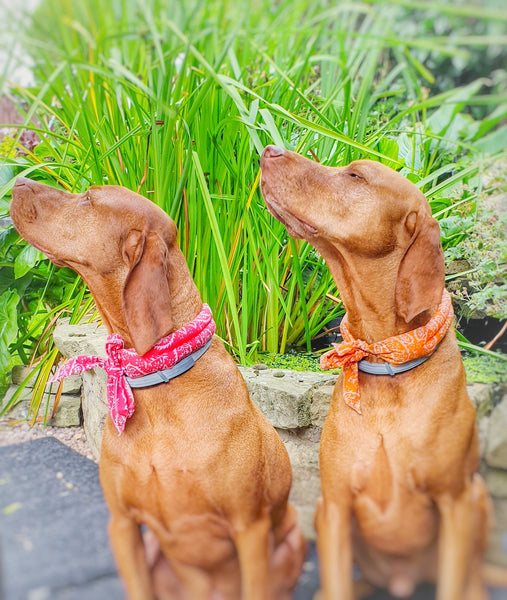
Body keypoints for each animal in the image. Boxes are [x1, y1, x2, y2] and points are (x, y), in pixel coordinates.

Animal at [10, 178, 306, 600]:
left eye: (88, 199)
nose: (18, 181)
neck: (157, 381)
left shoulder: (250, 528)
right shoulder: (121, 524)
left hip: (291, 542)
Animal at [260, 146, 490, 600]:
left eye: (356, 176)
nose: (269, 150)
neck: (386, 364)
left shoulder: (455, 501)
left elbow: (454, 581)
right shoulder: (334, 507)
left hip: (478, 497)